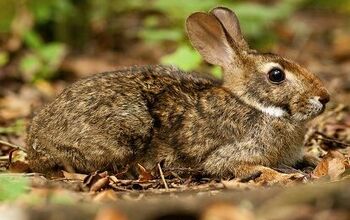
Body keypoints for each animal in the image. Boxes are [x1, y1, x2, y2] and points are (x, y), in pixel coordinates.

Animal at [26, 6, 328, 182]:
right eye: (276, 75)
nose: (324, 98)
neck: (255, 105)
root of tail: (35, 143)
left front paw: (316, 159)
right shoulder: (230, 153)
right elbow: (236, 166)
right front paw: (279, 175)